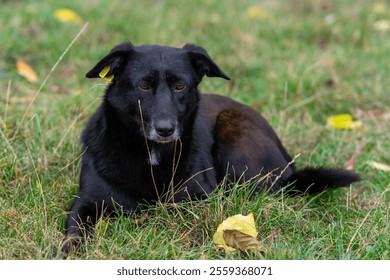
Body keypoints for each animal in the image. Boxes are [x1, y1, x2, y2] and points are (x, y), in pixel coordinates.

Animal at [60, 41, 360, 254]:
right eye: (143, 85)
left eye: (180, 85)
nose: (166, 129)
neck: (150, 152)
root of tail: (288, 163)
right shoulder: (86, 202)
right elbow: (74, 229)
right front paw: (70, 250)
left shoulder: (196, 198)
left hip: (234, 134)